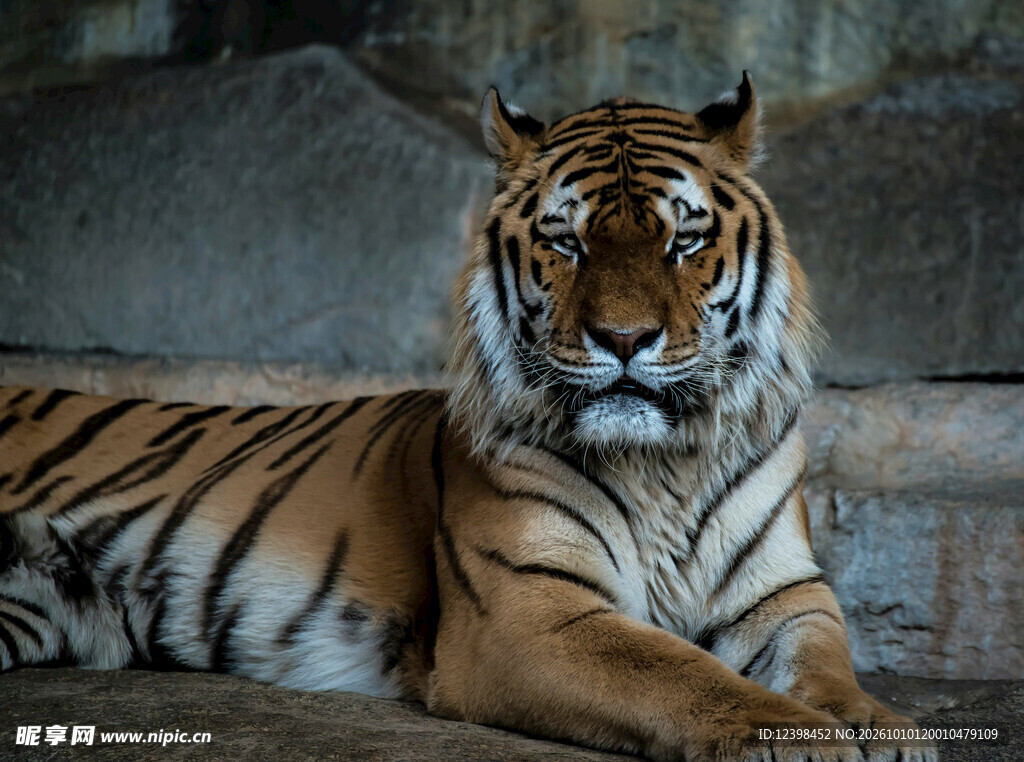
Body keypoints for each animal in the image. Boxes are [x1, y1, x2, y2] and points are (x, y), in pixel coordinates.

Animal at [0, 73, 936, 761]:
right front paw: (805, 740)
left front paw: (882, 729)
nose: (623, 339)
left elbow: (829, 664)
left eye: (683, 241)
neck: (662, 462)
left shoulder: (784, 594)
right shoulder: (530, 613)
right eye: (567, 243)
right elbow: (682, 674)